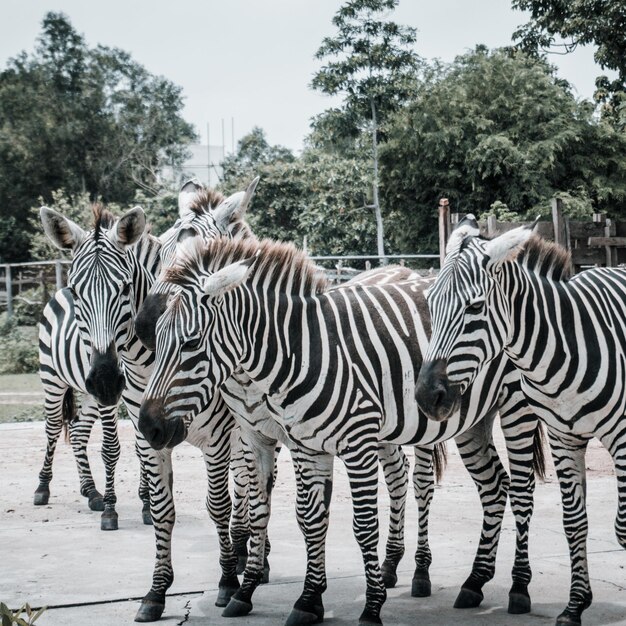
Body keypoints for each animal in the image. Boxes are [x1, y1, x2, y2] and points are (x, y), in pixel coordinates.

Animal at [135, 235, 540, 624]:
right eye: (158, 340)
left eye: (191, 343)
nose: (148, 426)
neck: (300, 352)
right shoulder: (296, 442)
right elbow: (302, 517)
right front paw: (303, 599)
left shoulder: (355, 444)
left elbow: (362, 526)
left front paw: (371, 607)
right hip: (471, 419)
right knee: (493, 488)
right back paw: (475, 582)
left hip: (515, 408)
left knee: (517, 491)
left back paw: (515, 588)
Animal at [414, 216, 624, 624]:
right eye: (429, 302)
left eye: (475, 307)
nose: (427, 397)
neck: (565, 346)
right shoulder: (563, 438)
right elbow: (575, 522)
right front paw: (575, 606)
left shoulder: (624, 439)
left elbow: (623, 527)